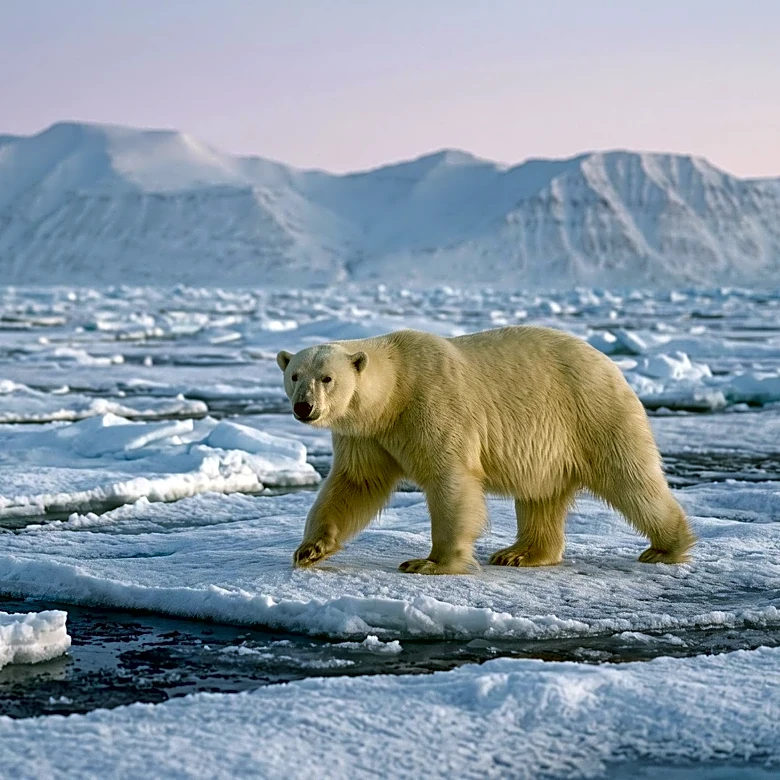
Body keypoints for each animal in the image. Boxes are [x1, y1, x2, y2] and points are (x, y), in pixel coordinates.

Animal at [276, 326, 695, 574]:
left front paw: (430, 563)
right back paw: (520, 554)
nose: (304, 407)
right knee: (541, 496)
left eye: (327, 378)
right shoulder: (367, 435)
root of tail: (611, 365)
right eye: (294, 375)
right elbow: (355, 483)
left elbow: (450, 480)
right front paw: (309, 550)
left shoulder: (431, 404)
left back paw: (667, 548)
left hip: (592, 412)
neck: (394, 393)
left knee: (631, 479)